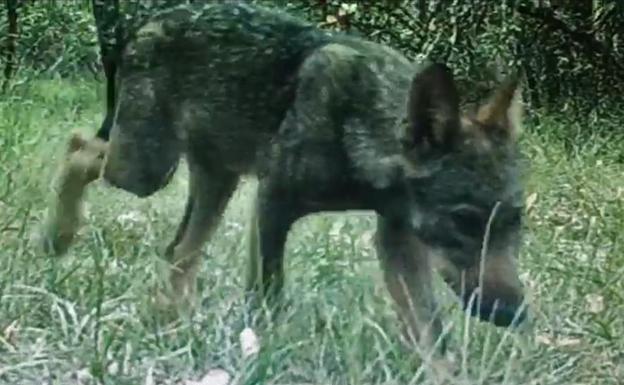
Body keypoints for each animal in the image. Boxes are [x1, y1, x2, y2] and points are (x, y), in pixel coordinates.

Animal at [42, 2, 528, 356]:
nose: (516, 316)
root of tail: (151, 19)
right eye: (464, 220)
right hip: (147, 171)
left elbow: (435, 342)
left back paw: (171, 328)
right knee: (78, 146)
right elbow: (267, 298)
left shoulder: (397, 240)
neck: (362, 125)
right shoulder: (273, 204)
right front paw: (260, 355)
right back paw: (56, 239)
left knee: (177, 252)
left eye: (516, 222)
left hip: (213, 181)